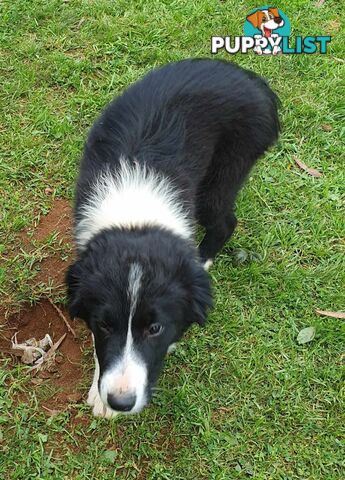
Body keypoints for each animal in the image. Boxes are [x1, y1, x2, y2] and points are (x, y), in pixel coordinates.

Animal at [65, 59, 280, 416]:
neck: (134, 212)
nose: (121, 402)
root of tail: (248, 77)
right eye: (105, 324)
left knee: (225, 222)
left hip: (223, 175)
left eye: (155, 329)